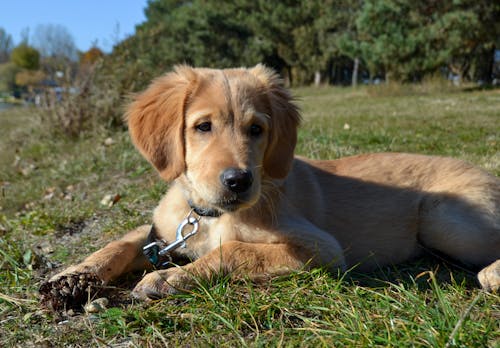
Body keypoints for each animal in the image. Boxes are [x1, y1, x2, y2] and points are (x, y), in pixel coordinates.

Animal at [40, 64, 500, 308]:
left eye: (256, 129)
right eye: (202, 126)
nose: (238, 180)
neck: (208, 215)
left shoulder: (321, 248)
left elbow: (234, 250)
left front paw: (170, 278)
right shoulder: (162, 232)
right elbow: (120, 242)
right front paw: (73, 278)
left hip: (444, 218)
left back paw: (492, 274)